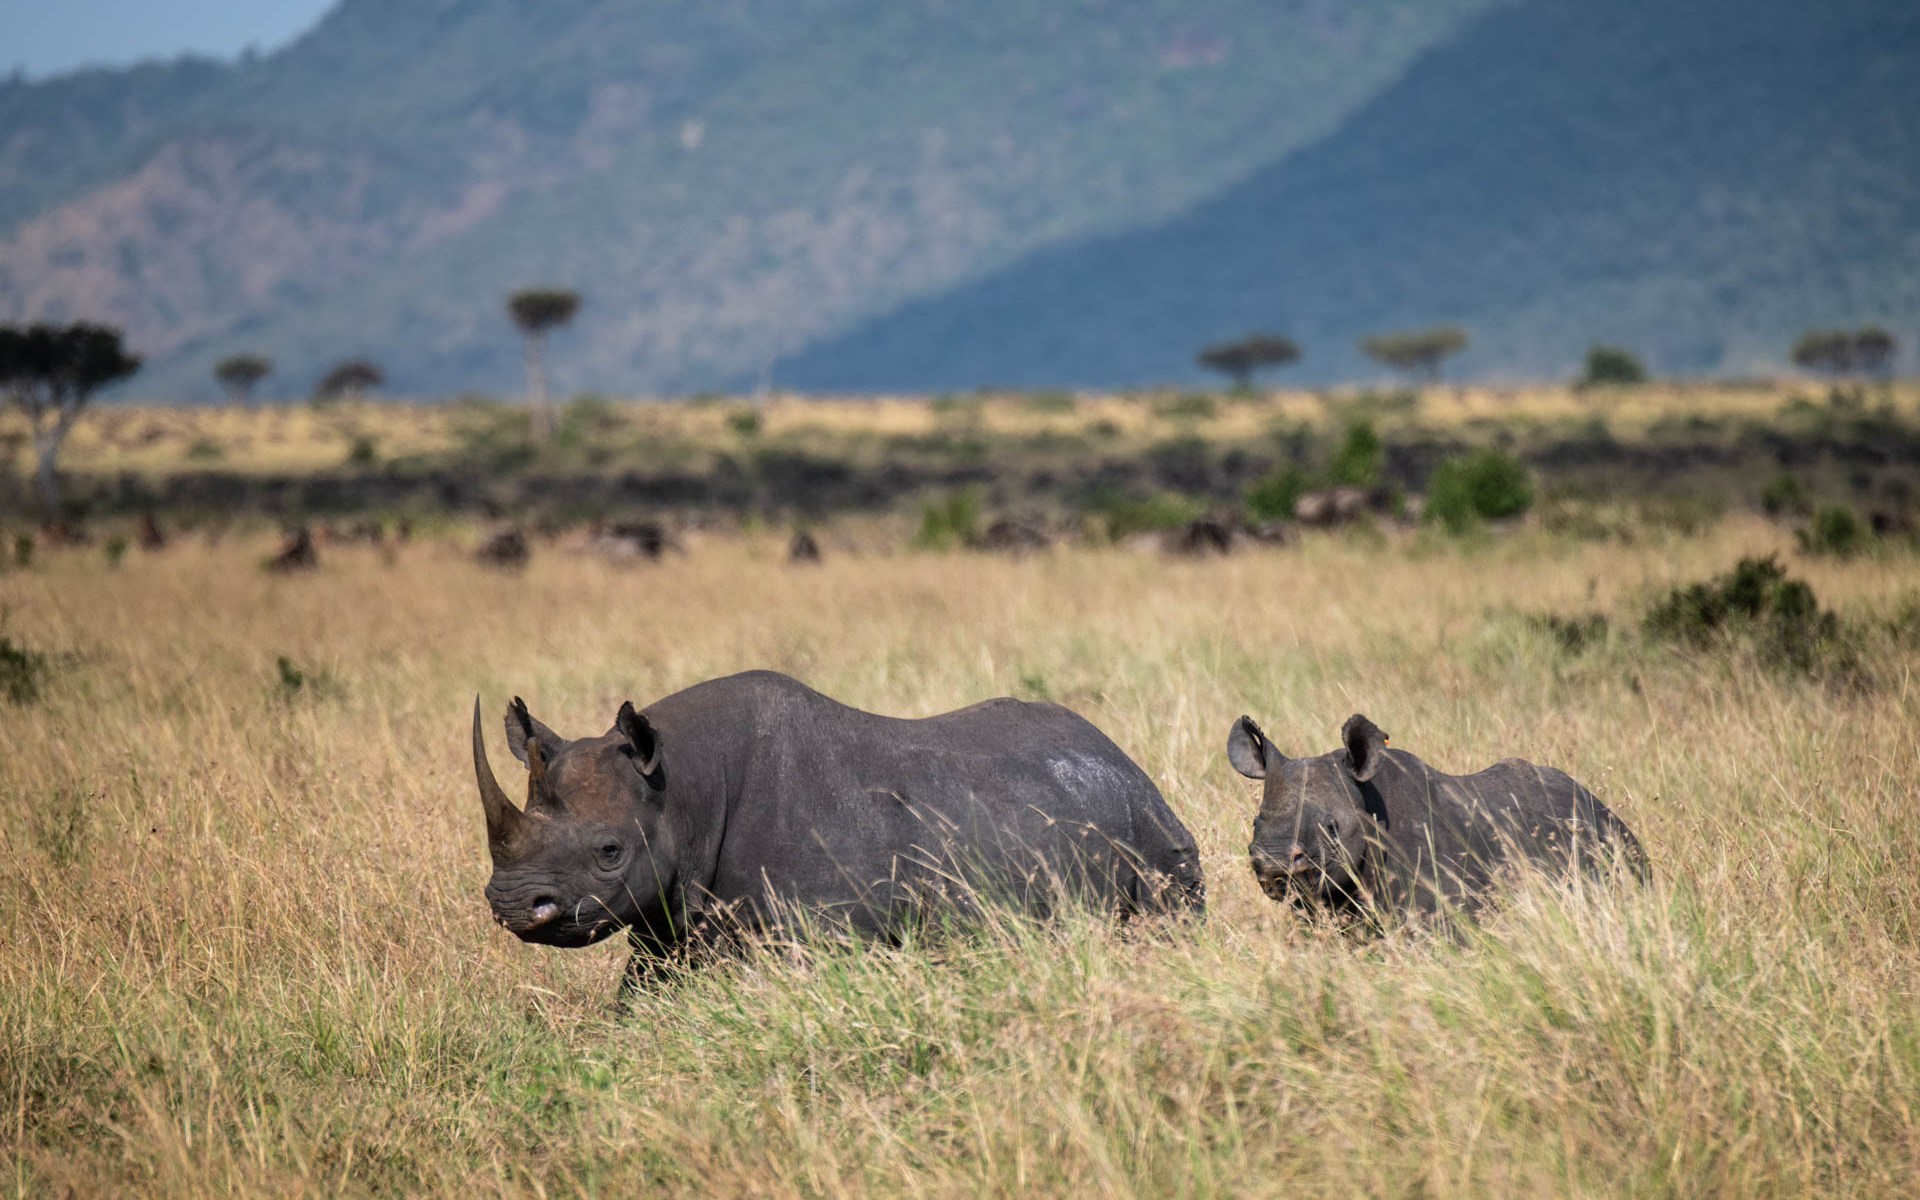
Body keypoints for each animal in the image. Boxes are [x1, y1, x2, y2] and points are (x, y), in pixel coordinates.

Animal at [473, 670, 1205, 994]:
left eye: (609, 851)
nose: (511, 905)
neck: (681, 789)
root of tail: (1127, 763)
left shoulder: (822, 934)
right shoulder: (667, 922)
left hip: (1156, 840)